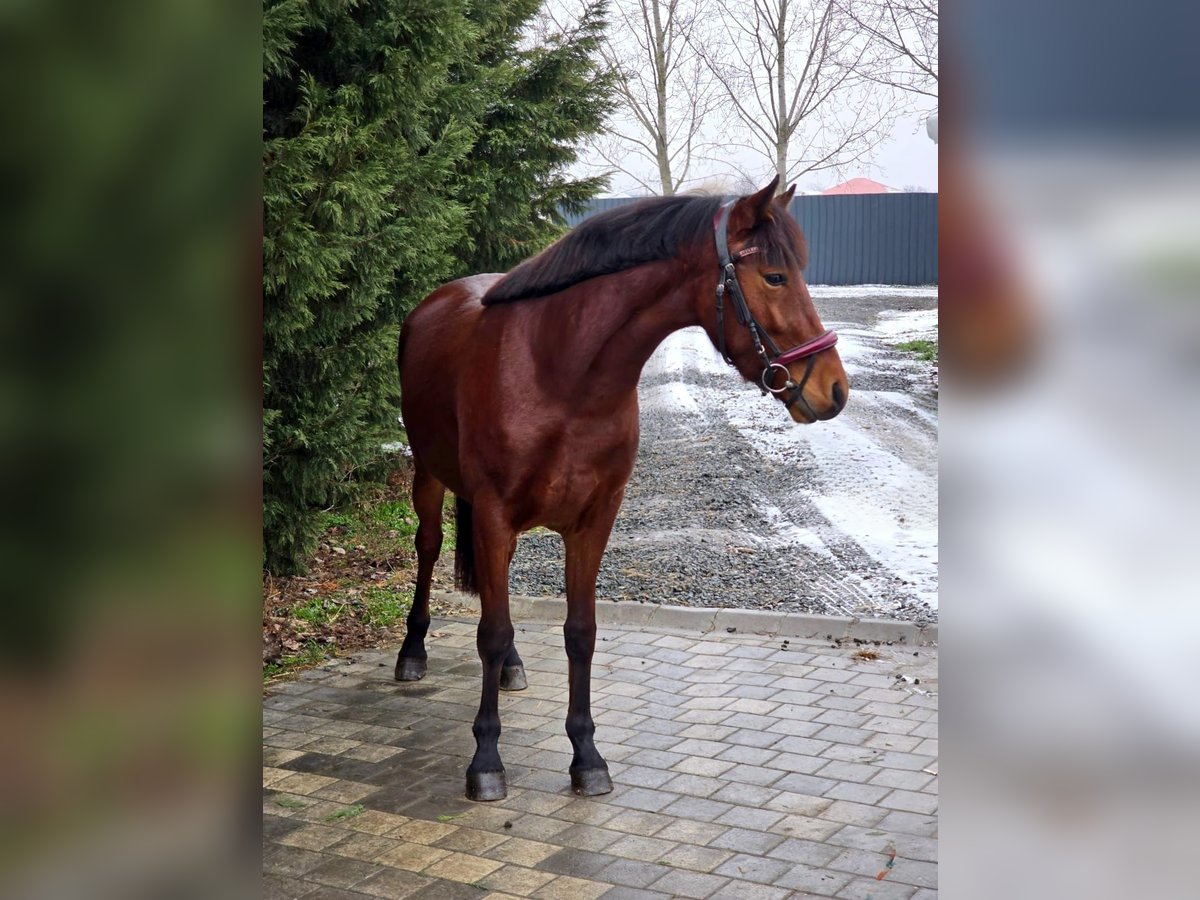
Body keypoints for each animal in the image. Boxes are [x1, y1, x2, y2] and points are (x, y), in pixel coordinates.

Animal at [391, 176, 844, 801]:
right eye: (775, 276)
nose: (835, 389)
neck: (558, 372)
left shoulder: (594, 519)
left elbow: (579, 632)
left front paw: (586, 755)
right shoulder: (493, 514)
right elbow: (490, 631)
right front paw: (485, 760)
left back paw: (512, 667)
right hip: (430, 478)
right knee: (430, 548)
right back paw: (412, 652)